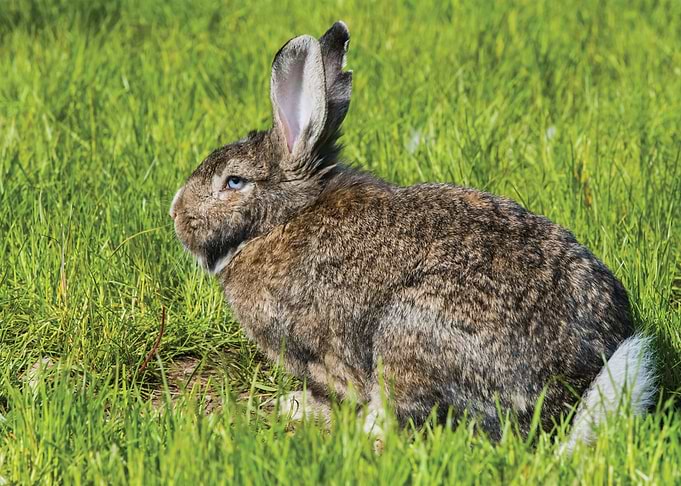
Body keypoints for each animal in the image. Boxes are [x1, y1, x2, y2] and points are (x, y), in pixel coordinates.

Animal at [170, 21, 656, 450]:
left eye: (234, 182)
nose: (176, 213)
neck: (283, 219)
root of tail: (568, 393)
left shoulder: (327, 354)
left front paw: (299, 407)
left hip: (407, 337)